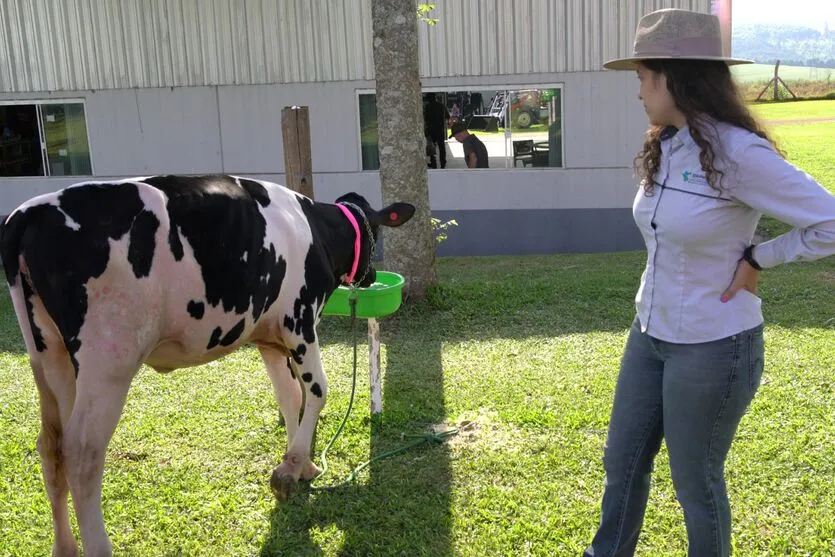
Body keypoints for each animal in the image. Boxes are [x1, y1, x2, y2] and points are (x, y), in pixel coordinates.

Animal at [0, 175, 416, 556]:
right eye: (377, 232)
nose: (371, 276)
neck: (315, 229)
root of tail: (28, 212)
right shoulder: (299, 321)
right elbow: (316, 390)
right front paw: (290, 470)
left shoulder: (269, 337)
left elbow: (288, 397)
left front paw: (305, 466)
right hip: (107, 360)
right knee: (82, 452)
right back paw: (99, 546)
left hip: (49, 356)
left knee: (50, 444)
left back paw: (64, 546)